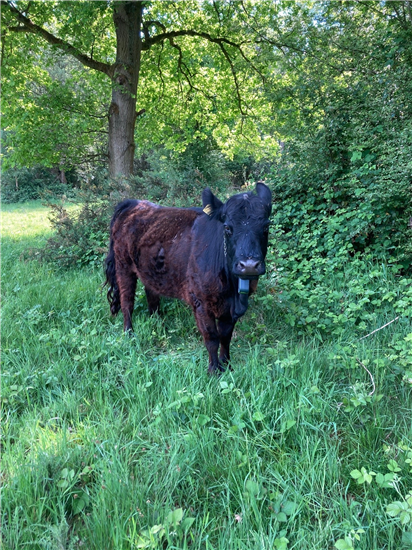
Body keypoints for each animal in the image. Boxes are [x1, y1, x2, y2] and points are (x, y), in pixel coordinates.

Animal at [105, 183, 274, 378]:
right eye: (227, 227)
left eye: (266, 227)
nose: (249, 265)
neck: (232, 289)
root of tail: (133, 203)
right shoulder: (200, 301)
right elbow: (212, 338)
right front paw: (214, 370)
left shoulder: (230, 308)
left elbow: (225, 336)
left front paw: (227, 365)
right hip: (123, 266)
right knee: (127, 301)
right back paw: (129, 334)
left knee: (152, 296)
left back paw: (158, 325)